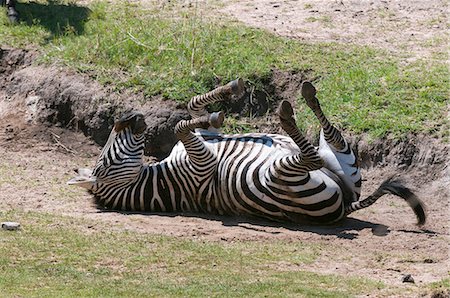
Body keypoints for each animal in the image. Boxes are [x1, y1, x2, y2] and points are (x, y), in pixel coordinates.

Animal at [68, 79, 428, 226]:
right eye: (104, 163)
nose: (126, 117)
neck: (160, 179)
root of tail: (345, 205)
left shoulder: (205, 142)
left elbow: (190, 109)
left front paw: (226, 96)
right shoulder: (202, 164)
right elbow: (182, 125)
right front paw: (214, 112)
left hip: (340, 162)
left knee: (331, 135)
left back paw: (306, 98)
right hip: (279, 176)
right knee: (310, 156)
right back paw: (287, 116)